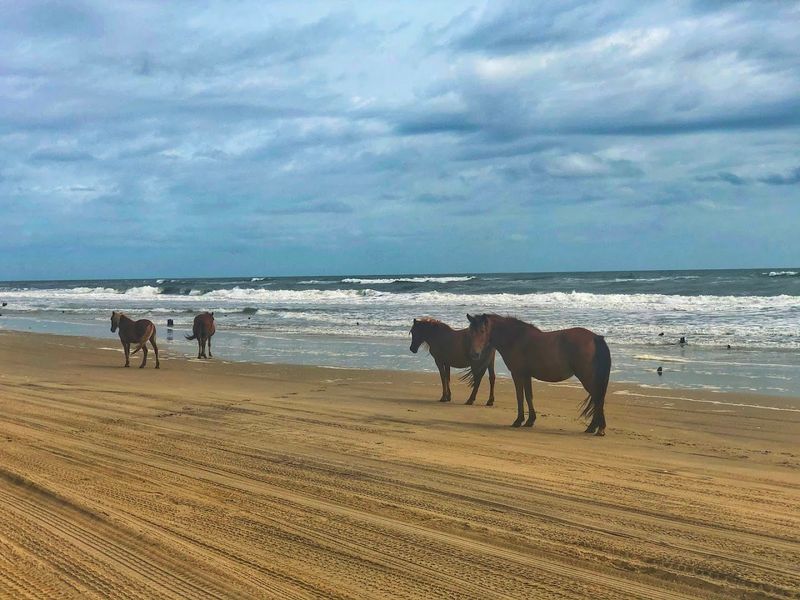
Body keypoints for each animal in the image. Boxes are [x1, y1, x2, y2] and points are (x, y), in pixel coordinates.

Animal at [467, 314, 610, 435]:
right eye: (470, 331)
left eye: (482, 331)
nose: (474, 354)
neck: (515, 338)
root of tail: (595, 337)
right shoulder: (526, 375)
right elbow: (529, 396)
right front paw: (530, 420)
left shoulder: (517, 374)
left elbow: (520, 397)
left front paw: (518, 421)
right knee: (598, 399)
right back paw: (593, 427)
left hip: (587, 378)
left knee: (598, 398)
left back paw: (599, 428)